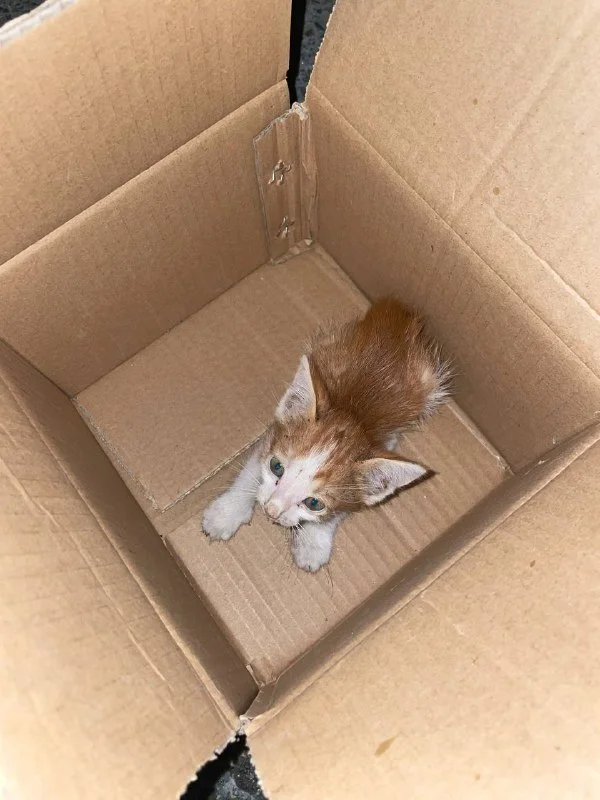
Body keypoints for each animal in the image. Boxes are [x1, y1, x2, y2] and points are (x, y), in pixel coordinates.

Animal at [202, 297, 452, 572]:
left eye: (314, 503)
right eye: (277, 467)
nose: (271, 511)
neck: (354, 414)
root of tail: (397, 316)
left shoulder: (379, 453)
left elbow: (340, 510)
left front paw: (312, 543)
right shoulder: (273, 433)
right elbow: (252, 470)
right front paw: (226, 513)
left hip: (427, 384)